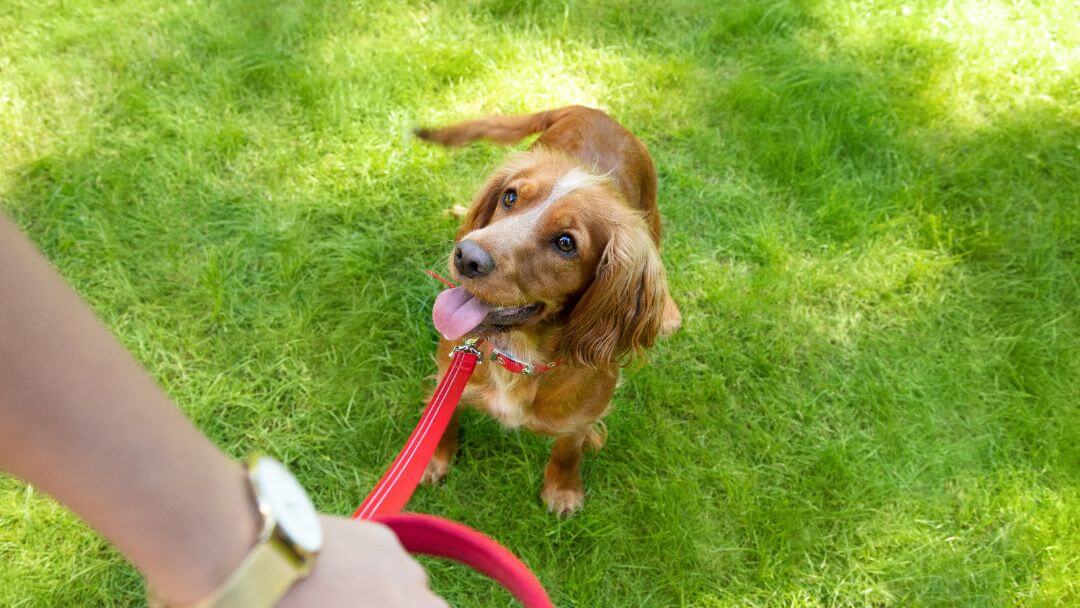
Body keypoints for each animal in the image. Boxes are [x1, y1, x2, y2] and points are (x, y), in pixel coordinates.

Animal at [416, 106, 678, 516]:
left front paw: (562, 489)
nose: (466, 256)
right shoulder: (449, 370)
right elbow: (442, 420)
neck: (518, 354)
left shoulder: (583, 416)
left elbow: (568, 449)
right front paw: (432, 460)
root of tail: (593, 109)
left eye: (566, 243)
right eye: (509, 197)